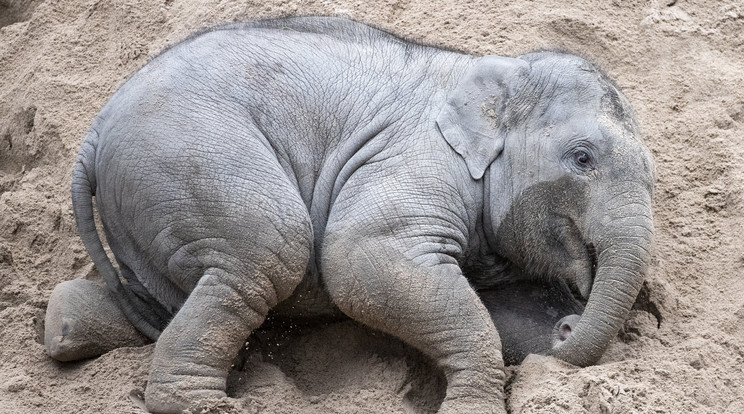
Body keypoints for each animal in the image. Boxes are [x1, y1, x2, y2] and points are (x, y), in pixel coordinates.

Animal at [46, 16, 652, 414]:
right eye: (582, 158)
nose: (570, 322)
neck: (495, 70)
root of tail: (92, 134)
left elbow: (510, 311)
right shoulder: (411, 158)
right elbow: (362, 259)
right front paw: (474, 408)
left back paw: (63, 327)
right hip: (188, 158)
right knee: (265, 253)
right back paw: (206, 405)